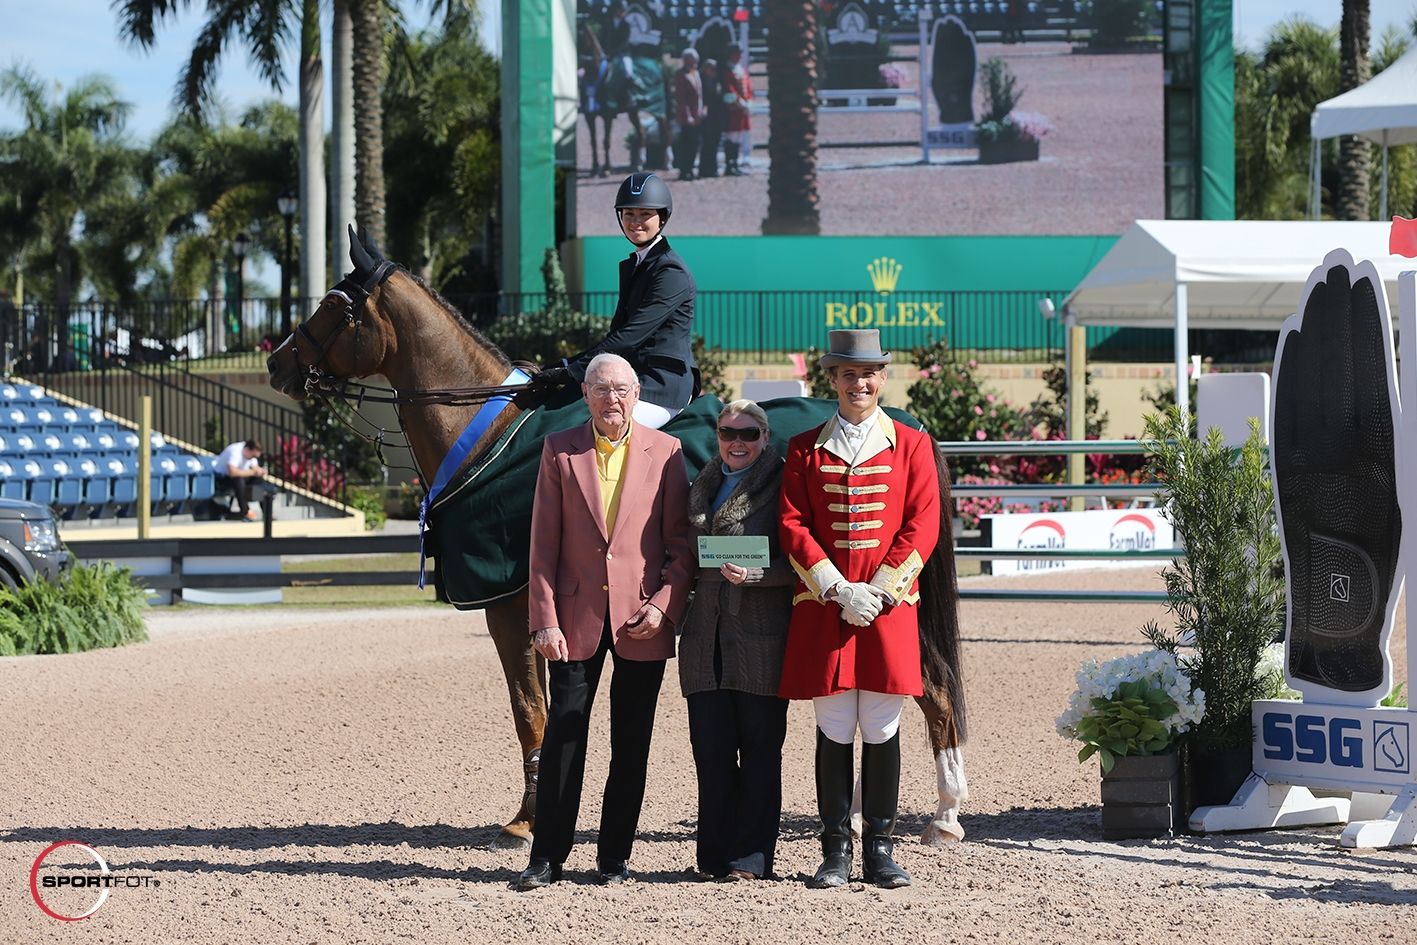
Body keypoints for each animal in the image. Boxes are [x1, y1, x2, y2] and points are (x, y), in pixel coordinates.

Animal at [263, 235, 974, 850]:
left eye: (334, 304)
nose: (276, 363)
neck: (485, 438)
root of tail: (899, 419)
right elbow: (540, 707)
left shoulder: (508, 605)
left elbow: (530, 710)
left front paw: (525, 822)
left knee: (930, 688)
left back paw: (943, 819)